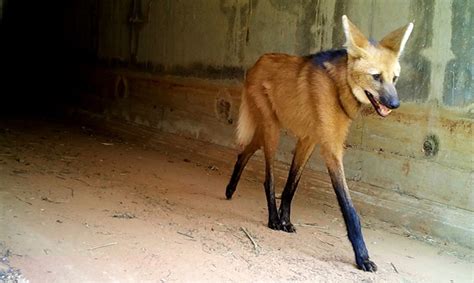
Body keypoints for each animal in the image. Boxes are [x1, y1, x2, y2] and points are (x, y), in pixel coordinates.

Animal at [224, 16, 412, 272]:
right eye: (376, 77)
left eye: (394, 79)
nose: (394, 104)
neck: (339, 88)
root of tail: (257, 62)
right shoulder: (331, 147)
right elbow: (349, 208)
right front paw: (362, 257)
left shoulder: (310, 139)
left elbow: (292, 185)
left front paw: (287, 220)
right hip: (272, 129)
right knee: (267, 177)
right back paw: (271, 218)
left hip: (270, 128)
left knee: (246, 150)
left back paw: (231, 189)